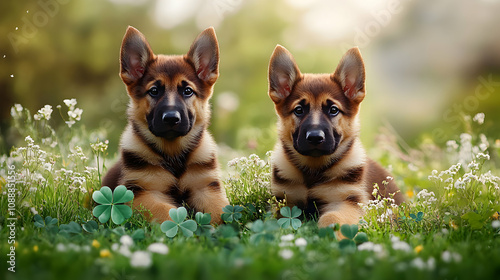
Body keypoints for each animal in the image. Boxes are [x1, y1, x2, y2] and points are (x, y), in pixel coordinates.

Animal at [103, 25, 229, 223]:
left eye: (187, 91)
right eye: (154, 91)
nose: (171, 118)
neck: (173, 154)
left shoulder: (206, 188)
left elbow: (220, 210)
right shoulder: (144, 193)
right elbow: (166, 211)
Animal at [268, 44, 404, 231]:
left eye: (333, 110)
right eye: (299, 110)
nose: (315, 138)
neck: (313, 171)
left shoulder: (346, 200)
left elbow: (332, 216)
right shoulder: (284, 200)